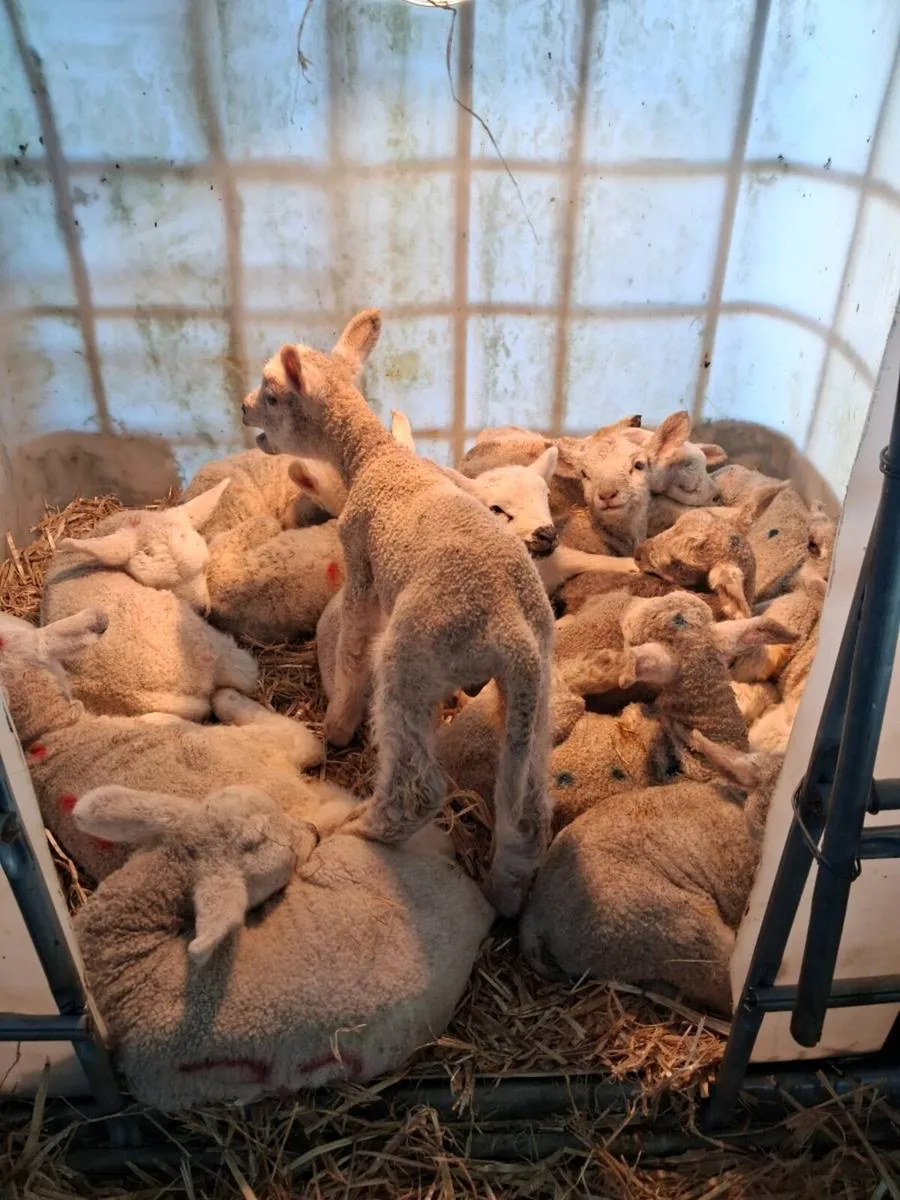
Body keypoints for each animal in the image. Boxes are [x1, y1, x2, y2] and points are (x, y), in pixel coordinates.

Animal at [241, 309, 555, 916]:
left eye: (270, 394)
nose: (241, 408)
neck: (374, 457)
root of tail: (511, 631)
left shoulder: (361, 568)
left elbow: (352, 645)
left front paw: (336, 725)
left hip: (412, 658)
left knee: (419, 787)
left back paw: (363, 827)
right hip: (536, 692)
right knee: (525, 809)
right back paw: (503, 896)